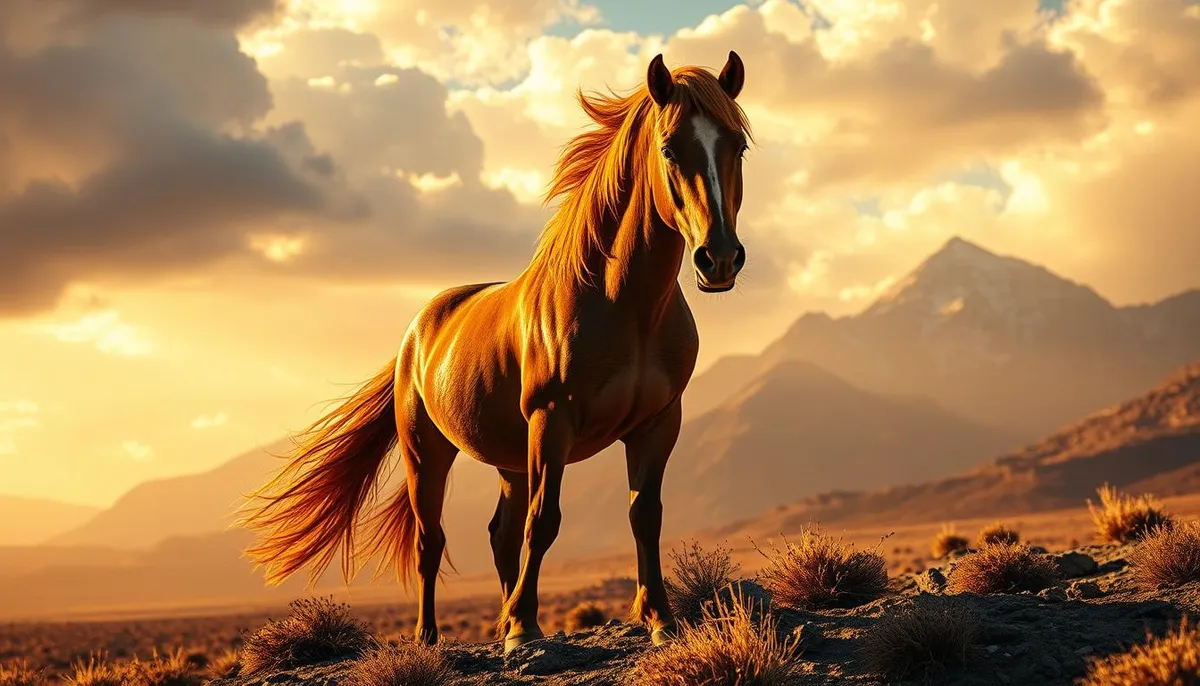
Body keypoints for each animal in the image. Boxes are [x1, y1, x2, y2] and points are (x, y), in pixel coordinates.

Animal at [238, 50, 753, 654]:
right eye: (670, 148)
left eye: (738, 147)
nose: (719, 258)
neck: (624, 305)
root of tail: (418, 330)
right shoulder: (552, 421)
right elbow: (544, 521)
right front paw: (523, 628)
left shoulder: (657, 422)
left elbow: (644, 515)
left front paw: (658, 619)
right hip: (428, 453)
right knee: (431, 541)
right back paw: (431, 637)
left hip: (511, 457)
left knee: (500, 536)